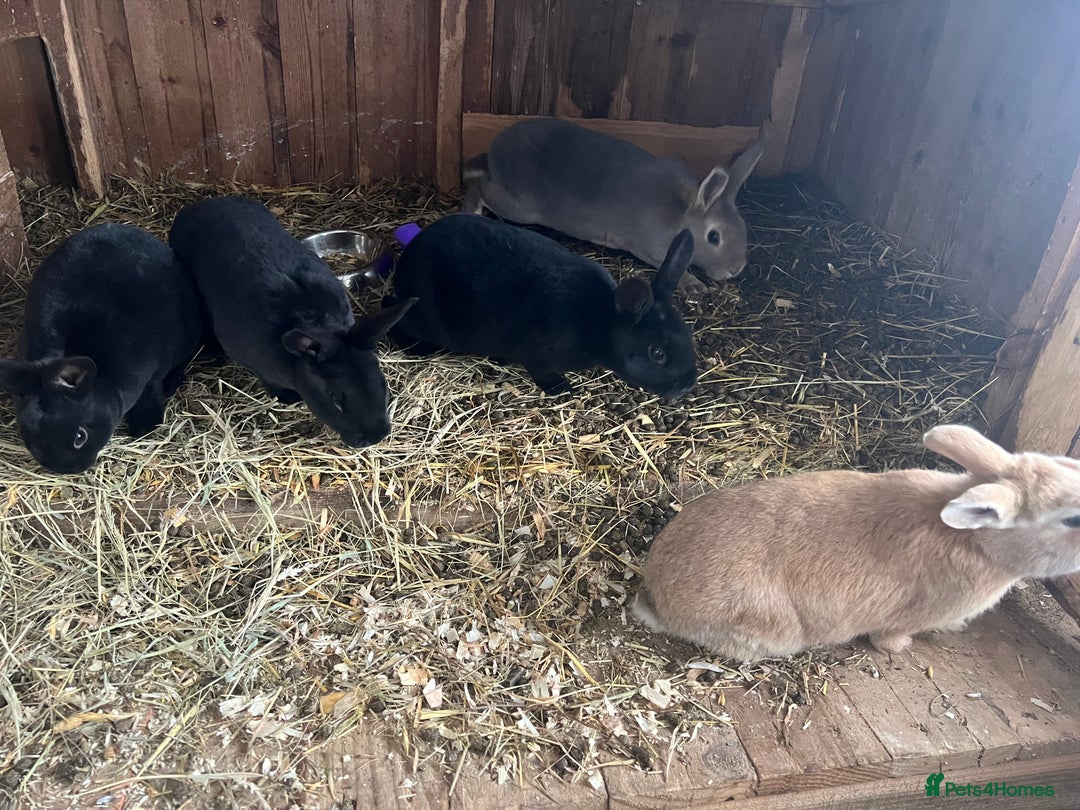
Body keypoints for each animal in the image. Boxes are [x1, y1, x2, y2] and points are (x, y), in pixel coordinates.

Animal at [0, 223, 203, 474]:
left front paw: (145, 425)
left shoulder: (155, 370)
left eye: (80, 436)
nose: (73, 469)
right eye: (30, 438)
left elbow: (151, 390)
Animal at [385, 213, 698, 398]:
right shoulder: (535, 353)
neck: (599, 322)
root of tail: (405, 266)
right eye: (657, 353)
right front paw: (561, 389)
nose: (688, 384)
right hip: (424, 317)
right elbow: (539, 370)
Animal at [462, 117, 764, 290]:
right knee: (481, 186)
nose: (736, 269)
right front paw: (695, 285)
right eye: (714, 237)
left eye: (743, 226)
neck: (683, 212)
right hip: (520, 207)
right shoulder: (654, 251)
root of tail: (497, 147)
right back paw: (471, 210)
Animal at [633, 424, 1080, 661]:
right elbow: (890, 639)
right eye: (1072, 518)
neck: (979, 542)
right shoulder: (907, 617)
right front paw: (901, 648)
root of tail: (657, 597)